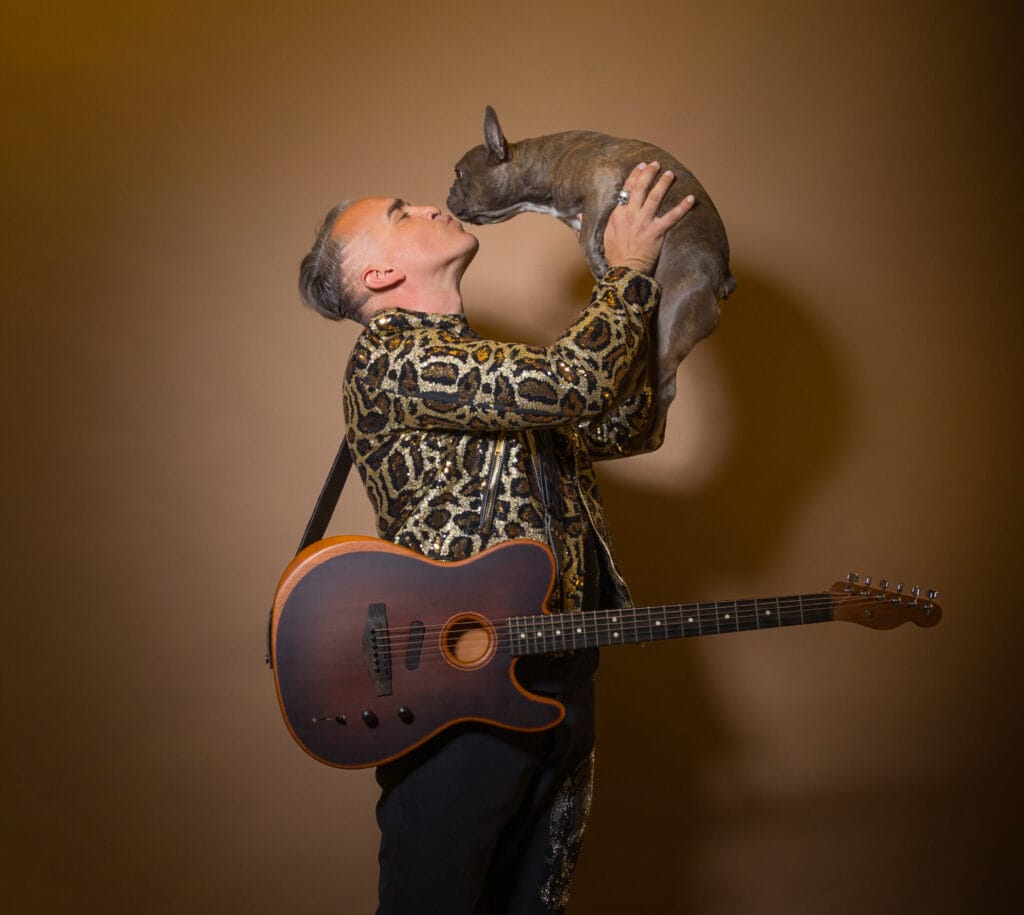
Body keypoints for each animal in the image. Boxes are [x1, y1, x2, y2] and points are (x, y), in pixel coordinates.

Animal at [450, 109, 737, 452]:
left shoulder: (602, 185)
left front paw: (599, 262)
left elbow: (588, 234)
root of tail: (721, 277)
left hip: (672, 321)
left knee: (665, 387)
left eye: (459, 173)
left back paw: (646, 435)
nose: (447, 196)